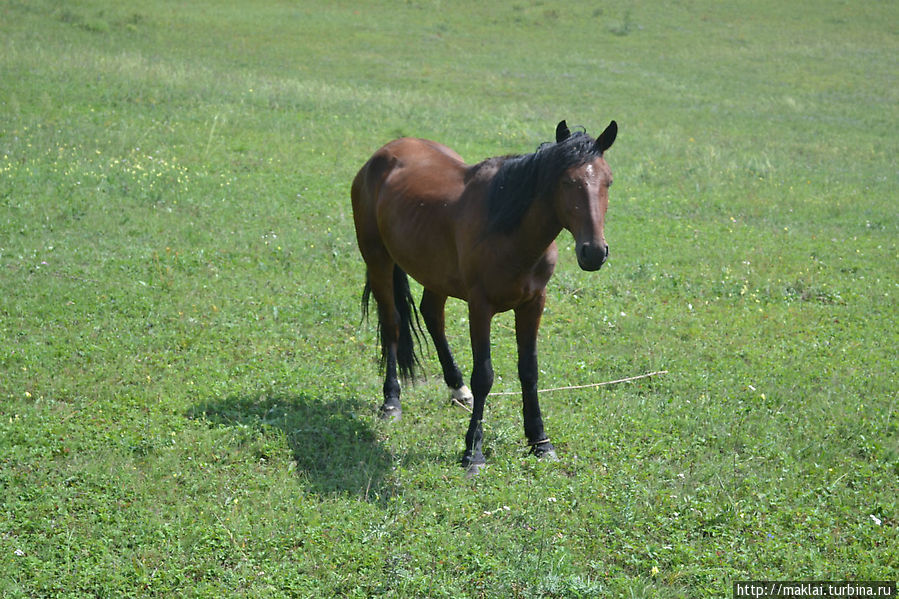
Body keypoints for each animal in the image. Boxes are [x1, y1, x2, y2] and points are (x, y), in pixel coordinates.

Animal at [352, 119, 620, 476]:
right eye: (566, 181)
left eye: (608, 181)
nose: (593, 252)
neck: (509, 231)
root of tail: (381, 155)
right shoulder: (480, 307)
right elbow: (484, 376)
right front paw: (473, 452)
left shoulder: (533, 303)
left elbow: (529, 371)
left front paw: (540, 441)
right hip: (377, 258)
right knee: (393, 324)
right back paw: (391, 400)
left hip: (434, 273)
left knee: (431, 315)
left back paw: (456, 388)